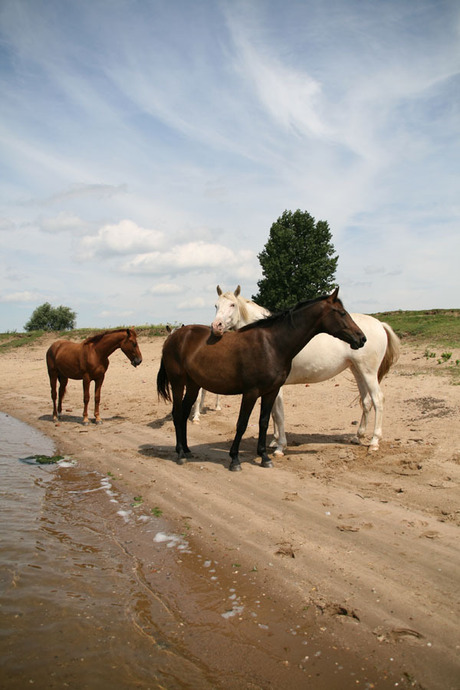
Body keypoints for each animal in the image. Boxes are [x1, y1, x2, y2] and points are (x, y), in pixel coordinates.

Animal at [158, 288, 366, 470]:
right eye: (342, 313)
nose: (362, 338)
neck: (272, 344)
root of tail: (173, 337)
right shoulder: (251, 393)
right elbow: (242, 424)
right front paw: (235, 459)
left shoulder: (271, 391)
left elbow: (264, 422)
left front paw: (265, 457)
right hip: (178, 383)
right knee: (177, 413)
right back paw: (180, 454)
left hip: (193, 385)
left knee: (184, 413)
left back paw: (186, 450)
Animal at [211, 284, 398, 452]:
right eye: (216, 305)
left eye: (232, 305)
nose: (216, 326)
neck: (269, 338)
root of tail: (380, 324)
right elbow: (273, 414)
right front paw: (275, 440)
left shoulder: (276, 387)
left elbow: (278, 413)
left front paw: (280, 445)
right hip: (357, 370)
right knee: (366, 401)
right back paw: (358, 437)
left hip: (368, 372)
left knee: (378, 399)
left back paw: (374, 442)